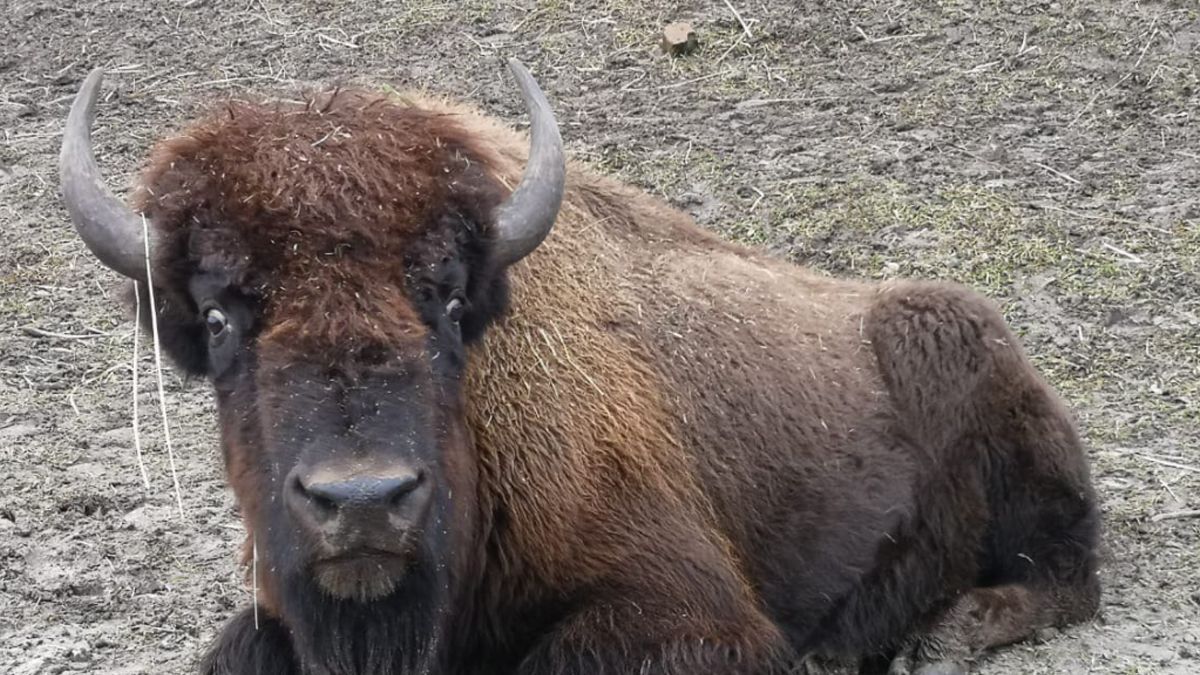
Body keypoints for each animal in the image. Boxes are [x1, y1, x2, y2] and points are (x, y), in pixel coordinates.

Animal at [60, 59, 1099, 672]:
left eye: (446, 299)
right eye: (220, 314)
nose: (362, 502)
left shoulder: (689, 612)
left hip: (987, 400)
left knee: (1068, 567)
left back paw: (956, 627)